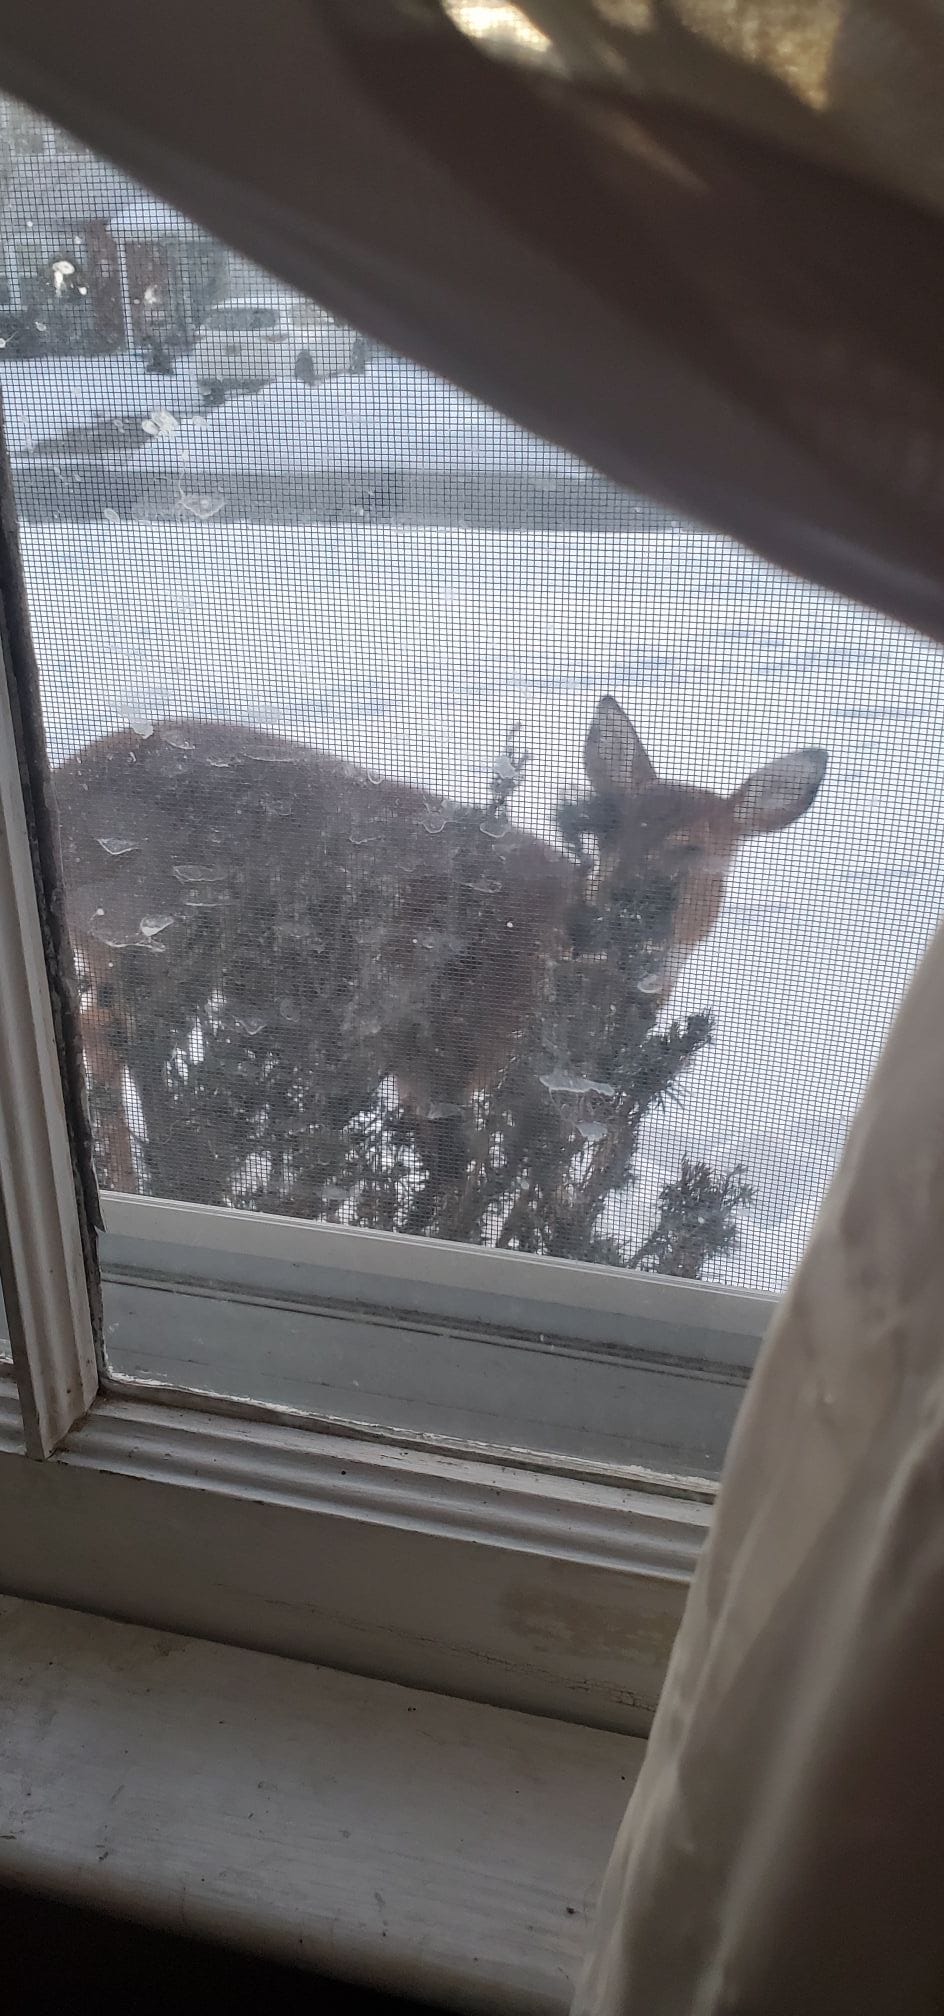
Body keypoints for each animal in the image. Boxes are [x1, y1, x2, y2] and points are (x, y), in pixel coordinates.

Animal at [51, 697, 827, 1215]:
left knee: (105, 1031)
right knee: (118, 1036)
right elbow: (458, 1185)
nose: (609, 914)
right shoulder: (439, 1055)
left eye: (695, 850)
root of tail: (64, 786)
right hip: (150, 933)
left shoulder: (519, 1092)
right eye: (607, 833)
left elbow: (537, 1184)